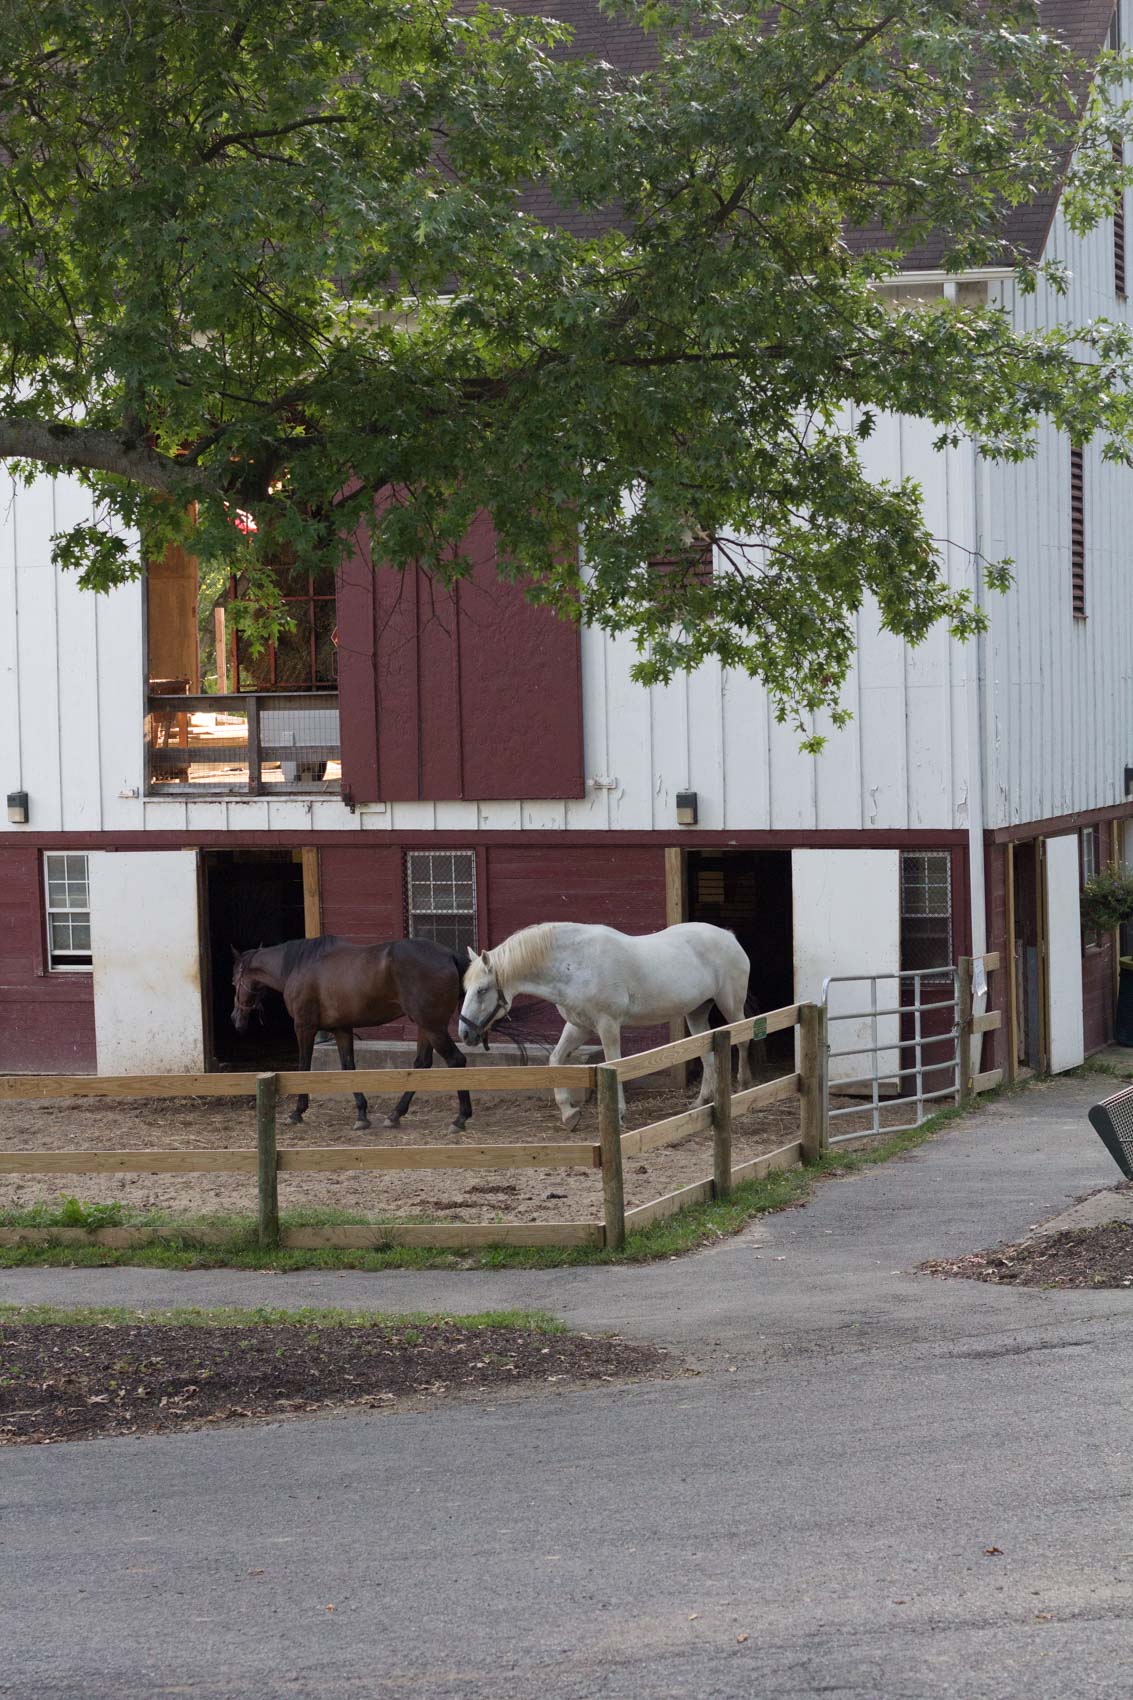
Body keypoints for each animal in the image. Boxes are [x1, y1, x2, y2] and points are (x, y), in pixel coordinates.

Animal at [231, 938, 469, 1135]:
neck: (299, 965)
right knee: (422, 1064)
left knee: (456, 1060)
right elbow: (349, 1067)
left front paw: (297, 1113)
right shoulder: (342, 1029)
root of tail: (449, 955)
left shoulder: (304, 1027)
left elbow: (304, 1067)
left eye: (234, 982)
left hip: (433, 1026)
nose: (235, 1018)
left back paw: (460, 1119)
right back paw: (395, 1115)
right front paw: (362, 1115)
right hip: (425, 1026)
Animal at [455, 918, 755, 1128]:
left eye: (482, 990)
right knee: (707, 1055)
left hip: (730, 1005)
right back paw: (701, 1101)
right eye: (466, 988)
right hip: (696, 1013)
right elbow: (555, 1060)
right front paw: (569, 1114)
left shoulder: (607, 1025)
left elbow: (615, 1065)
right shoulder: (579, 1027)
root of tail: (729, 936)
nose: (466, 1033)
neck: (574, 965)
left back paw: (744, 1085)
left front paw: (619, 1114)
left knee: (743, 1040)